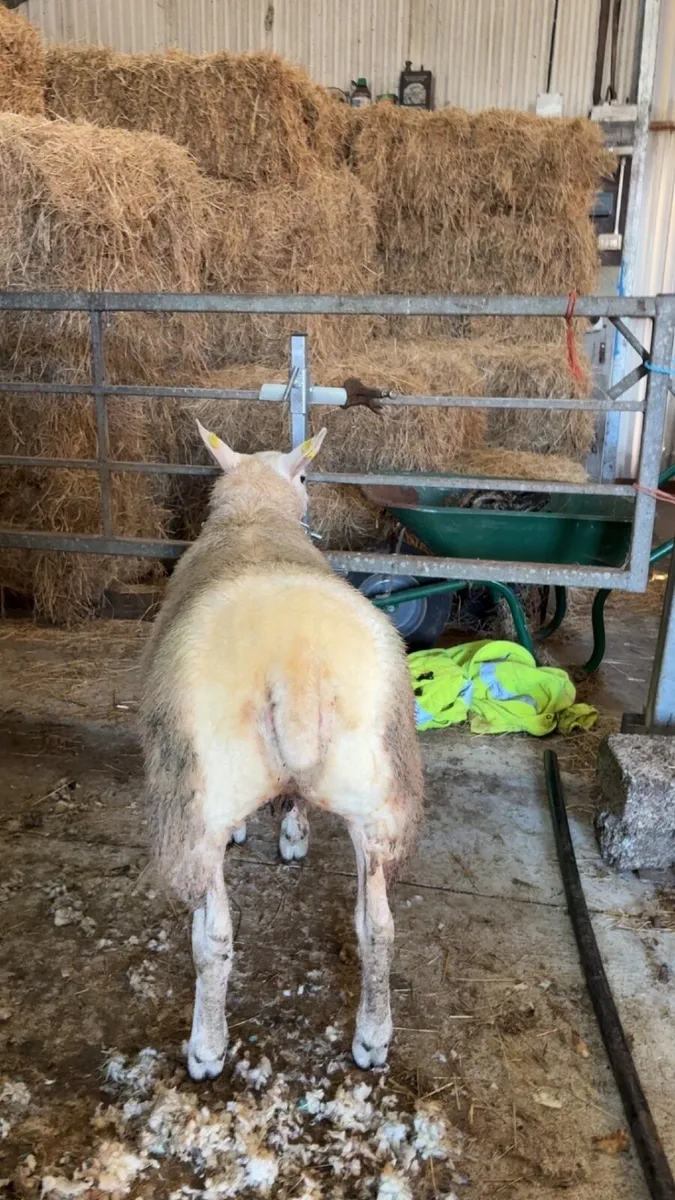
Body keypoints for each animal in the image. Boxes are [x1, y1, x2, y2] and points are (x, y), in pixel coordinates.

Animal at [139, 420, 423, 1081]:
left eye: (305, 474)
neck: (255, 518)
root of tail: (296, 664)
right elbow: (293, 800)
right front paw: (293, 835)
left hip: (201, 798)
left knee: (214, 937)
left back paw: (206, 1047)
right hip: (374, 796)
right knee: (379, 927)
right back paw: (373, 1037)